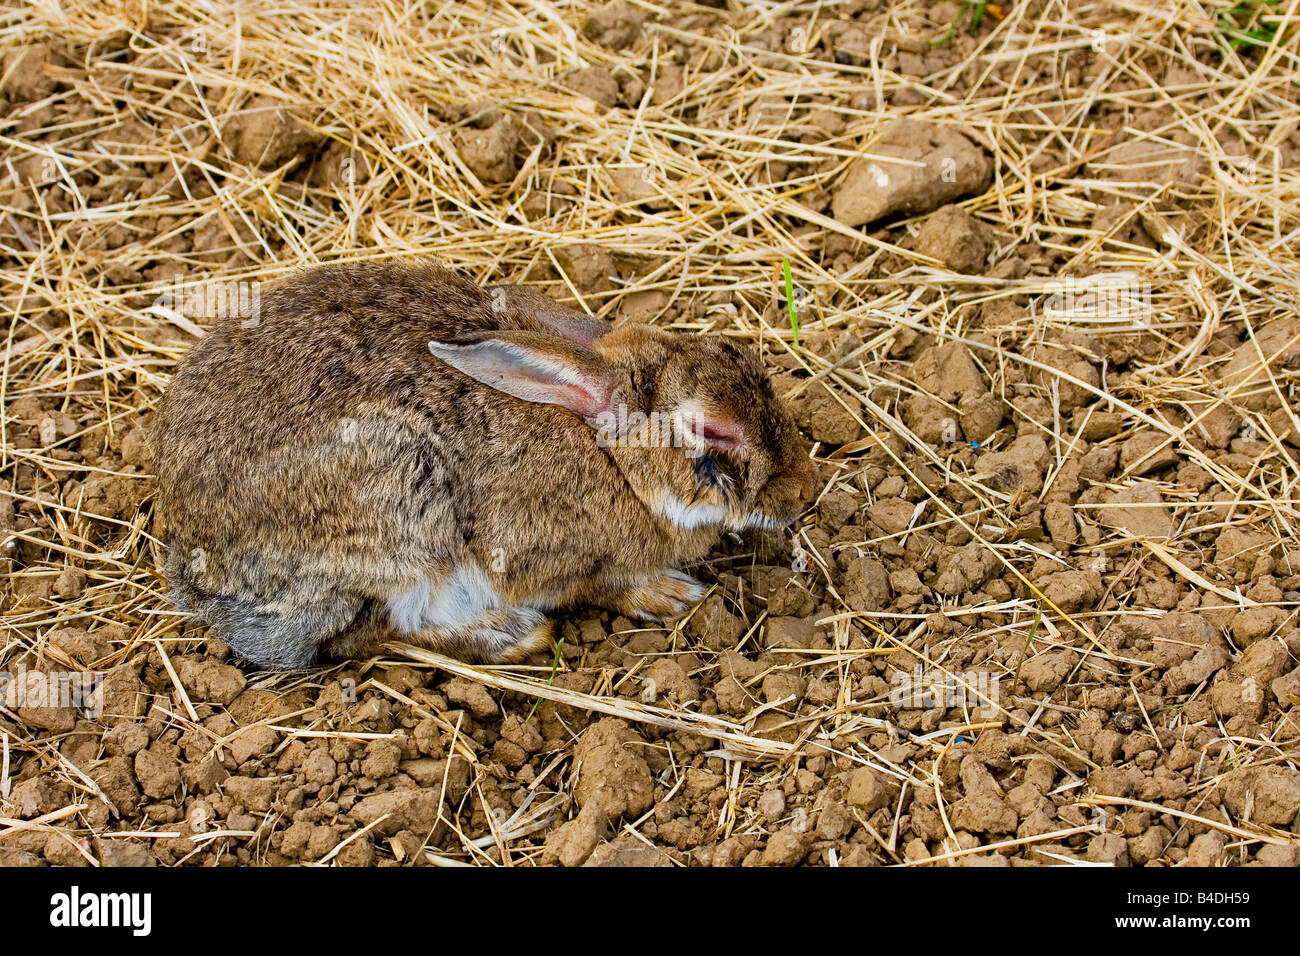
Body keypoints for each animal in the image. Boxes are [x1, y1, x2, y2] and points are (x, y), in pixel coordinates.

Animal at [152, 257, 816, 671]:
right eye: (712, 431)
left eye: (744, 358)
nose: (805, 493)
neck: (614, 459)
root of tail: (196, 569)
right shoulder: (538, 554)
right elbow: (595, 585)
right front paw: (667, 594)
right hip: (399, 521)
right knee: (375, 631)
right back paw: (507, 633)